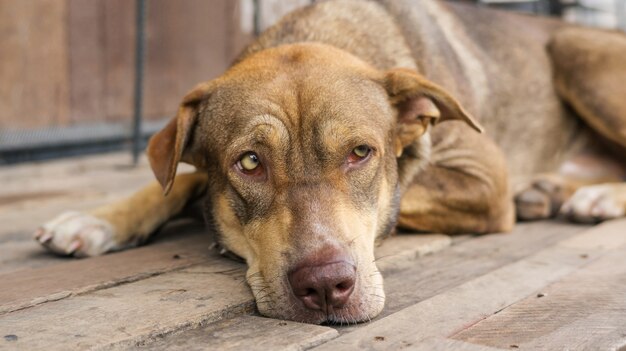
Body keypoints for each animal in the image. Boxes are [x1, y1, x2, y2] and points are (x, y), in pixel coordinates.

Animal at [34, 0, 624, 324]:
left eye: (360, 153)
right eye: (250, 162)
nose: (324, 287)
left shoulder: (486, 179)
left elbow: (407, 186)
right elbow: (182, 180)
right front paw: (100, 220)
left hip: (577, 53)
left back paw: (587, 196)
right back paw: (554, 191)